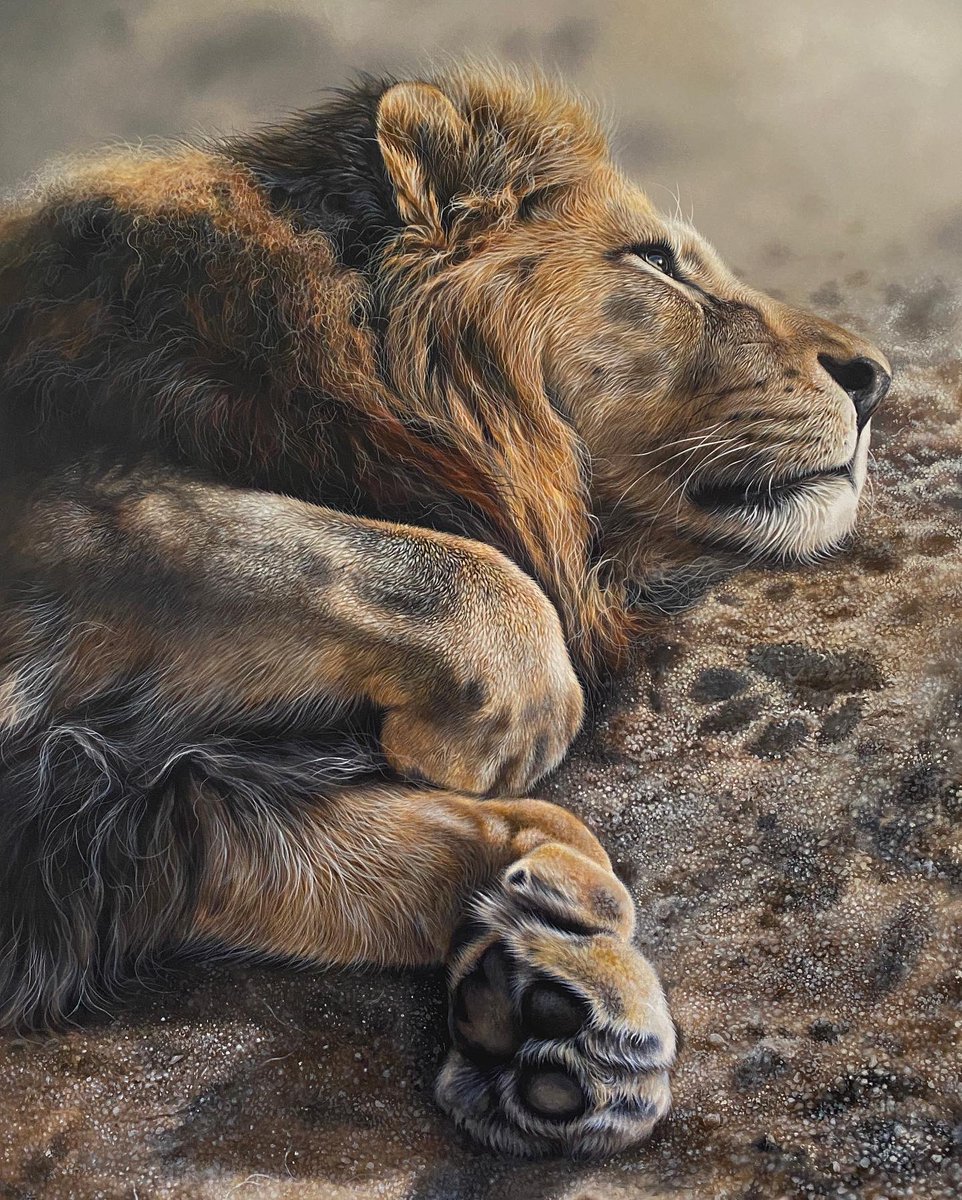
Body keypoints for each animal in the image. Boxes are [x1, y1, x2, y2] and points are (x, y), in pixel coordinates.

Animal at [0, 66, 890, 1158]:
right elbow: (380, 557)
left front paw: (555, 977)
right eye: (655, 265)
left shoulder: (128, 817)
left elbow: (378, 848)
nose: (875, 381)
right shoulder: (72, 509)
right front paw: (504, 734)